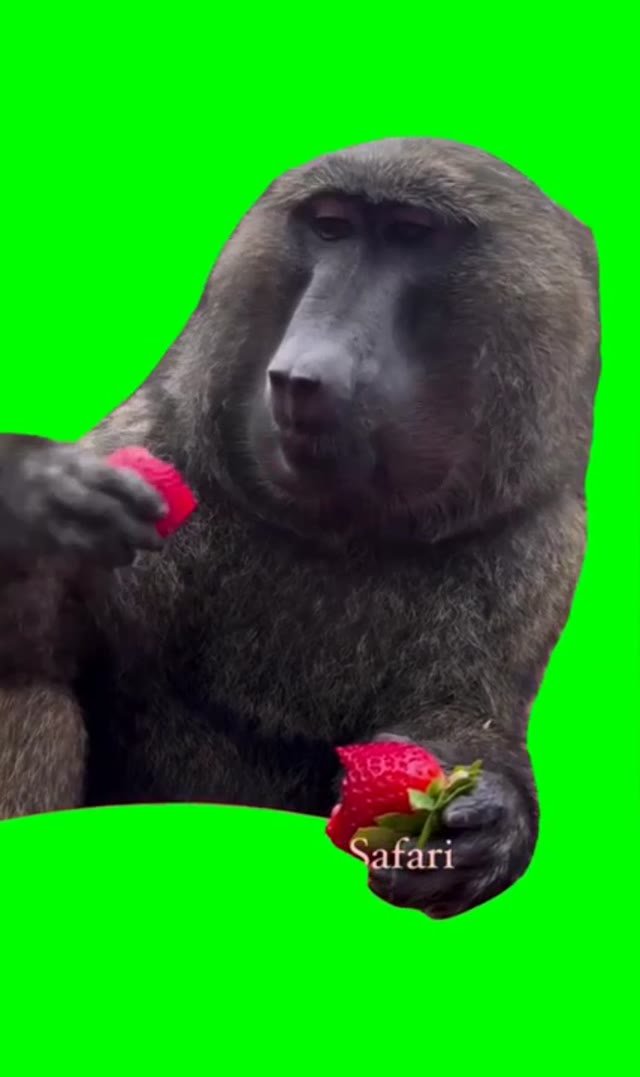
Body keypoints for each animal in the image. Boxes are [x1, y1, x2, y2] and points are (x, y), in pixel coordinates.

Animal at [0, 138, 600, 919]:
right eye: (331, 227)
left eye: (410, 234)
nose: (302, 375)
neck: (340, 531)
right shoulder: (152, 453)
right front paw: (28, 499)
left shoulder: (533, 539)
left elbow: (458, 723)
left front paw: (483, 821)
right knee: (28, 689)